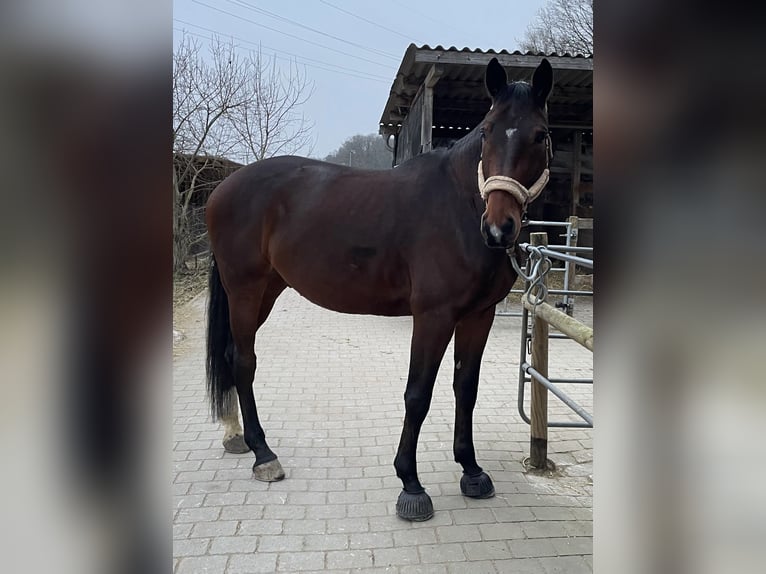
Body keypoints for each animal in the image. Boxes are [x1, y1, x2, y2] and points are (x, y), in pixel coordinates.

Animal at [205, 57, 553, 521]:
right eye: (487, 132)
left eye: (540, 135)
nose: (499, 228)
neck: (458, 205)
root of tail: (223, 188)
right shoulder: (433, 317)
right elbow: (418, 395)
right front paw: (411, 484)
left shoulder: (479, 315)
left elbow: (466, 388)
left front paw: (471, 470)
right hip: (245, 290)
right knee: (243, 361)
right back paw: (264, 455)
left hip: (265, 292)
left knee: (230, 355)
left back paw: (236, 436)